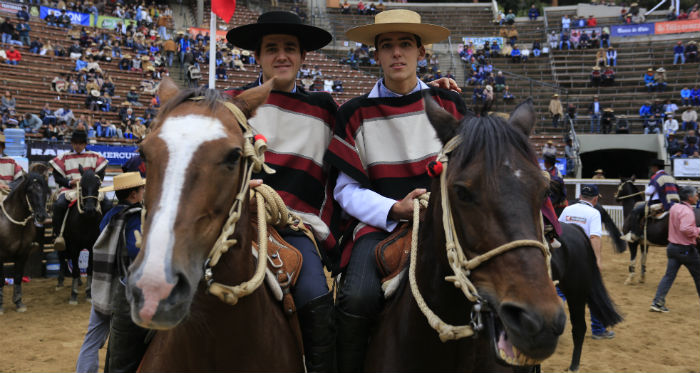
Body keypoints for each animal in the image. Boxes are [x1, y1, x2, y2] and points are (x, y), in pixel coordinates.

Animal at [0, 161, 50, 312]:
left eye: (46, 191)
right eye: (29, 191)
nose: (42, 216)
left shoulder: (23, 254)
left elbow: (17, 277)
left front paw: (18, 303)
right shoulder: (1, 256)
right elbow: (2, 279)